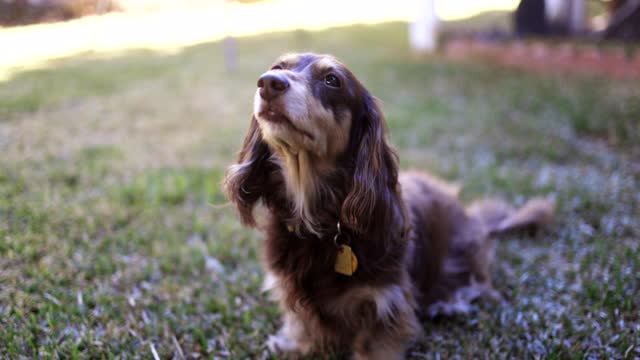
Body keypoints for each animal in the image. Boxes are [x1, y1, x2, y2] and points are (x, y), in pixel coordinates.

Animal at [222, 52, 552, 358]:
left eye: (332, 80)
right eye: (277, 67)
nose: (268, 83)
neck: (320, 223)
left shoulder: (386, 301)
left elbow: (377, 340)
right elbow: (300, 320)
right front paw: (294, 343)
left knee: (477, 282)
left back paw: (449, 303)